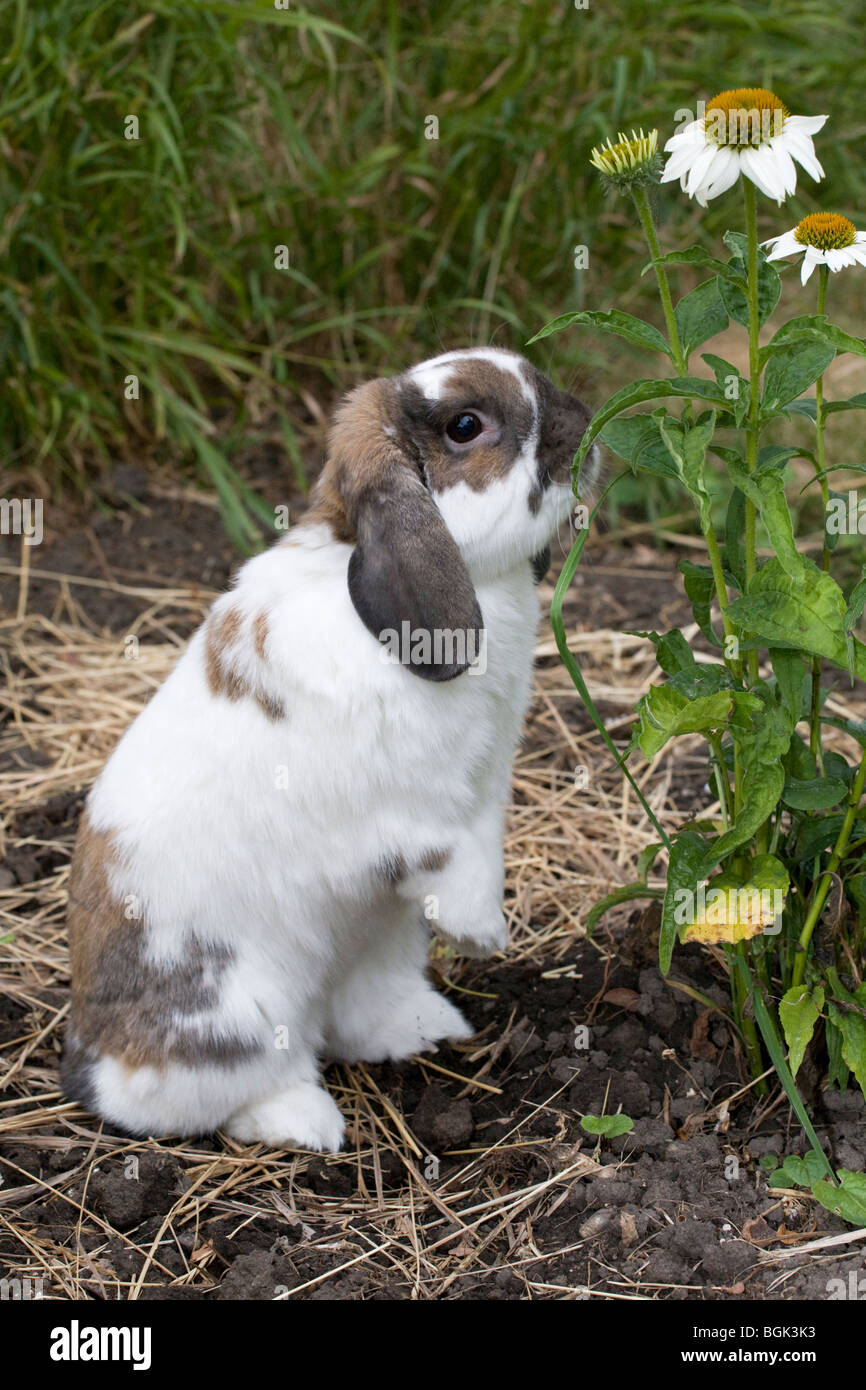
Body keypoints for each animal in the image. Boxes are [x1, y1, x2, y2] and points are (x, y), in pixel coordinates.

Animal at [64, 347, 600, 1150]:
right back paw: (308, 1123)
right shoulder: (416, 813)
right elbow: (459, 862)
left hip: (378, 944)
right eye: (465, 426)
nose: (585, 424)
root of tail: (92, 1057)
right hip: (241, 1016)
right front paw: (482, 936)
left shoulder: (485, 790)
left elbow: (486, 848)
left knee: (354, 1019)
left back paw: (430, 1028)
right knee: (194, 1098)